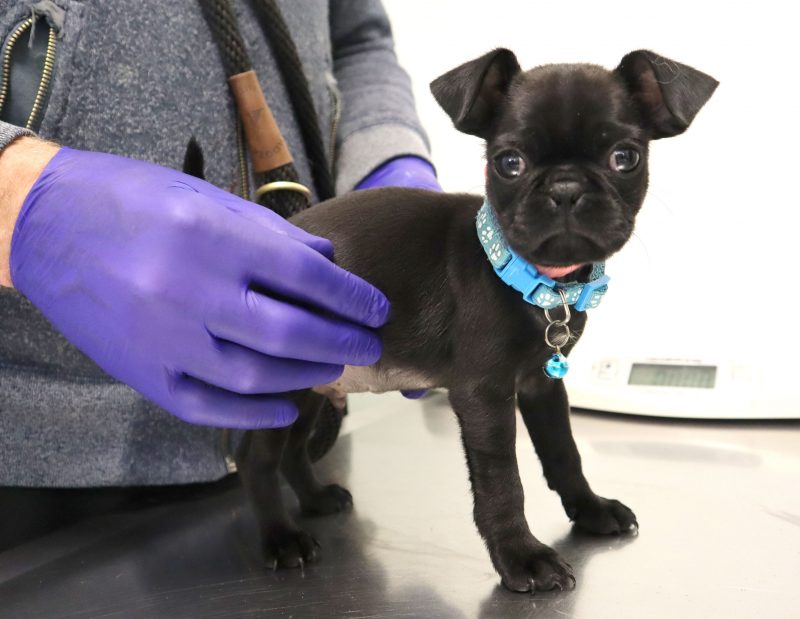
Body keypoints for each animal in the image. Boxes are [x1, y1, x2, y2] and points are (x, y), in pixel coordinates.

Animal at [238, 48, 720, 592]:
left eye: (625, 157)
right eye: (509, 163)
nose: (566, 187)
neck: (540, 283)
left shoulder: (541, 384)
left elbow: (564, 451)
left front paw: (590, 509)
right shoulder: (484, 395)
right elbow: (501, 481)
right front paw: (521, 556)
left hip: (313, 384)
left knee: (294, 450)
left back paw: (317, 500)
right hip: (282, 384)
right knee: (257, 460)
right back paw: (282, 537)